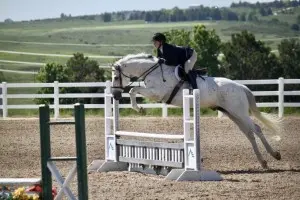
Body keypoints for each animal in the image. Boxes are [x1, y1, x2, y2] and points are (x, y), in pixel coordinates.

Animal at [110, 52, 282, 168]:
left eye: (116, 77)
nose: (115, 95)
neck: (152, 70)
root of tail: (241, 86)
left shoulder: (156, 93)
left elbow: (133, 90)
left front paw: (139, 109)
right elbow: (133, 90)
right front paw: (139, 108)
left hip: (239, 112)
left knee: (257, 129)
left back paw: (275, 154)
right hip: (232, 114)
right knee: (249, 133)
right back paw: (263, 162)